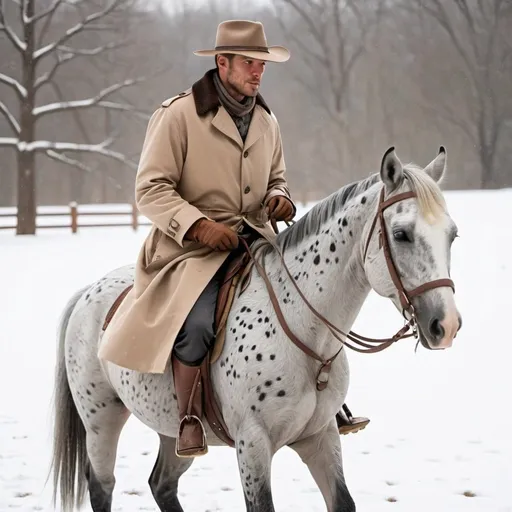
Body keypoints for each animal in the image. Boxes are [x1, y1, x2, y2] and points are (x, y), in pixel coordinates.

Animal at [50, 146, 462, 510]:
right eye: (402, 234)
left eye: (452, 235)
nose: (446, 325)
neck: (303, 333)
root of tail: (90, 291)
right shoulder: (252, 445)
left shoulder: (321, 436)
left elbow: (343, 502)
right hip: (101, 422)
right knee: (102, 487)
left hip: (175, 433)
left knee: (161, 484)